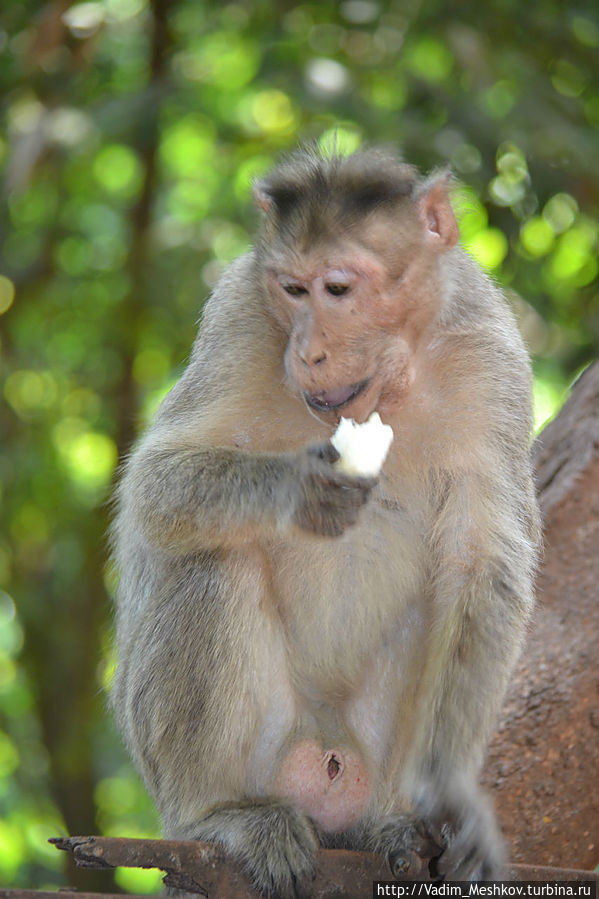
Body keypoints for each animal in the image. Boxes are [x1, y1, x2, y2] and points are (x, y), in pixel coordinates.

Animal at [110, 144, 540, 896]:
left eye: (337, 289)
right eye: (290, 289)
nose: (308, 351)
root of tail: (326, 762)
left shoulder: (492, 356)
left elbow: (481, 569)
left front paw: (455, 802)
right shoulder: (237, 318)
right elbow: (154, 486)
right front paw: (299, 489)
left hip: (366, 757)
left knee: (436, 606)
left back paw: (394, 824)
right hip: (228, 757)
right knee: (213, 559)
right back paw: (217, 814)